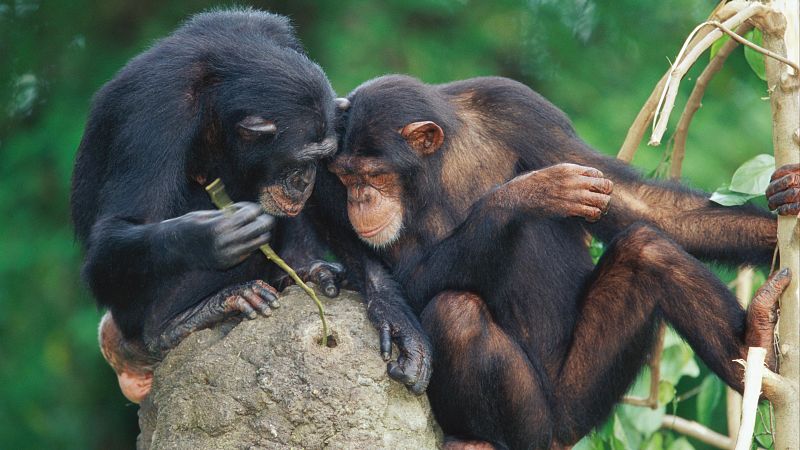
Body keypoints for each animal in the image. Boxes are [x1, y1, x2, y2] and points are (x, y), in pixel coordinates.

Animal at [75, 8, 346, 402]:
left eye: (321, 159)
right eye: (298, 160)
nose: (304, 181)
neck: (217, 95)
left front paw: (307, 267)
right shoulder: (155, 110)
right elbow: (114, 234)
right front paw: (214, 235)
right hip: (132, 318)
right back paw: (178, 320)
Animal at [322, 75, 796, 448]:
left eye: (375, 175)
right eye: (345, 177)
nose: (359, 199)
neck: (440, 161)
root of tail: (563, 433)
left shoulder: (520, 107)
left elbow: (637, 204)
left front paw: (789, 199)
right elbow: (406, 283)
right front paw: (529, 193)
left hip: (584, 395)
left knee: (648, 248)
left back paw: (755, 349)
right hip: (541, 421)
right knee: (456, 313)